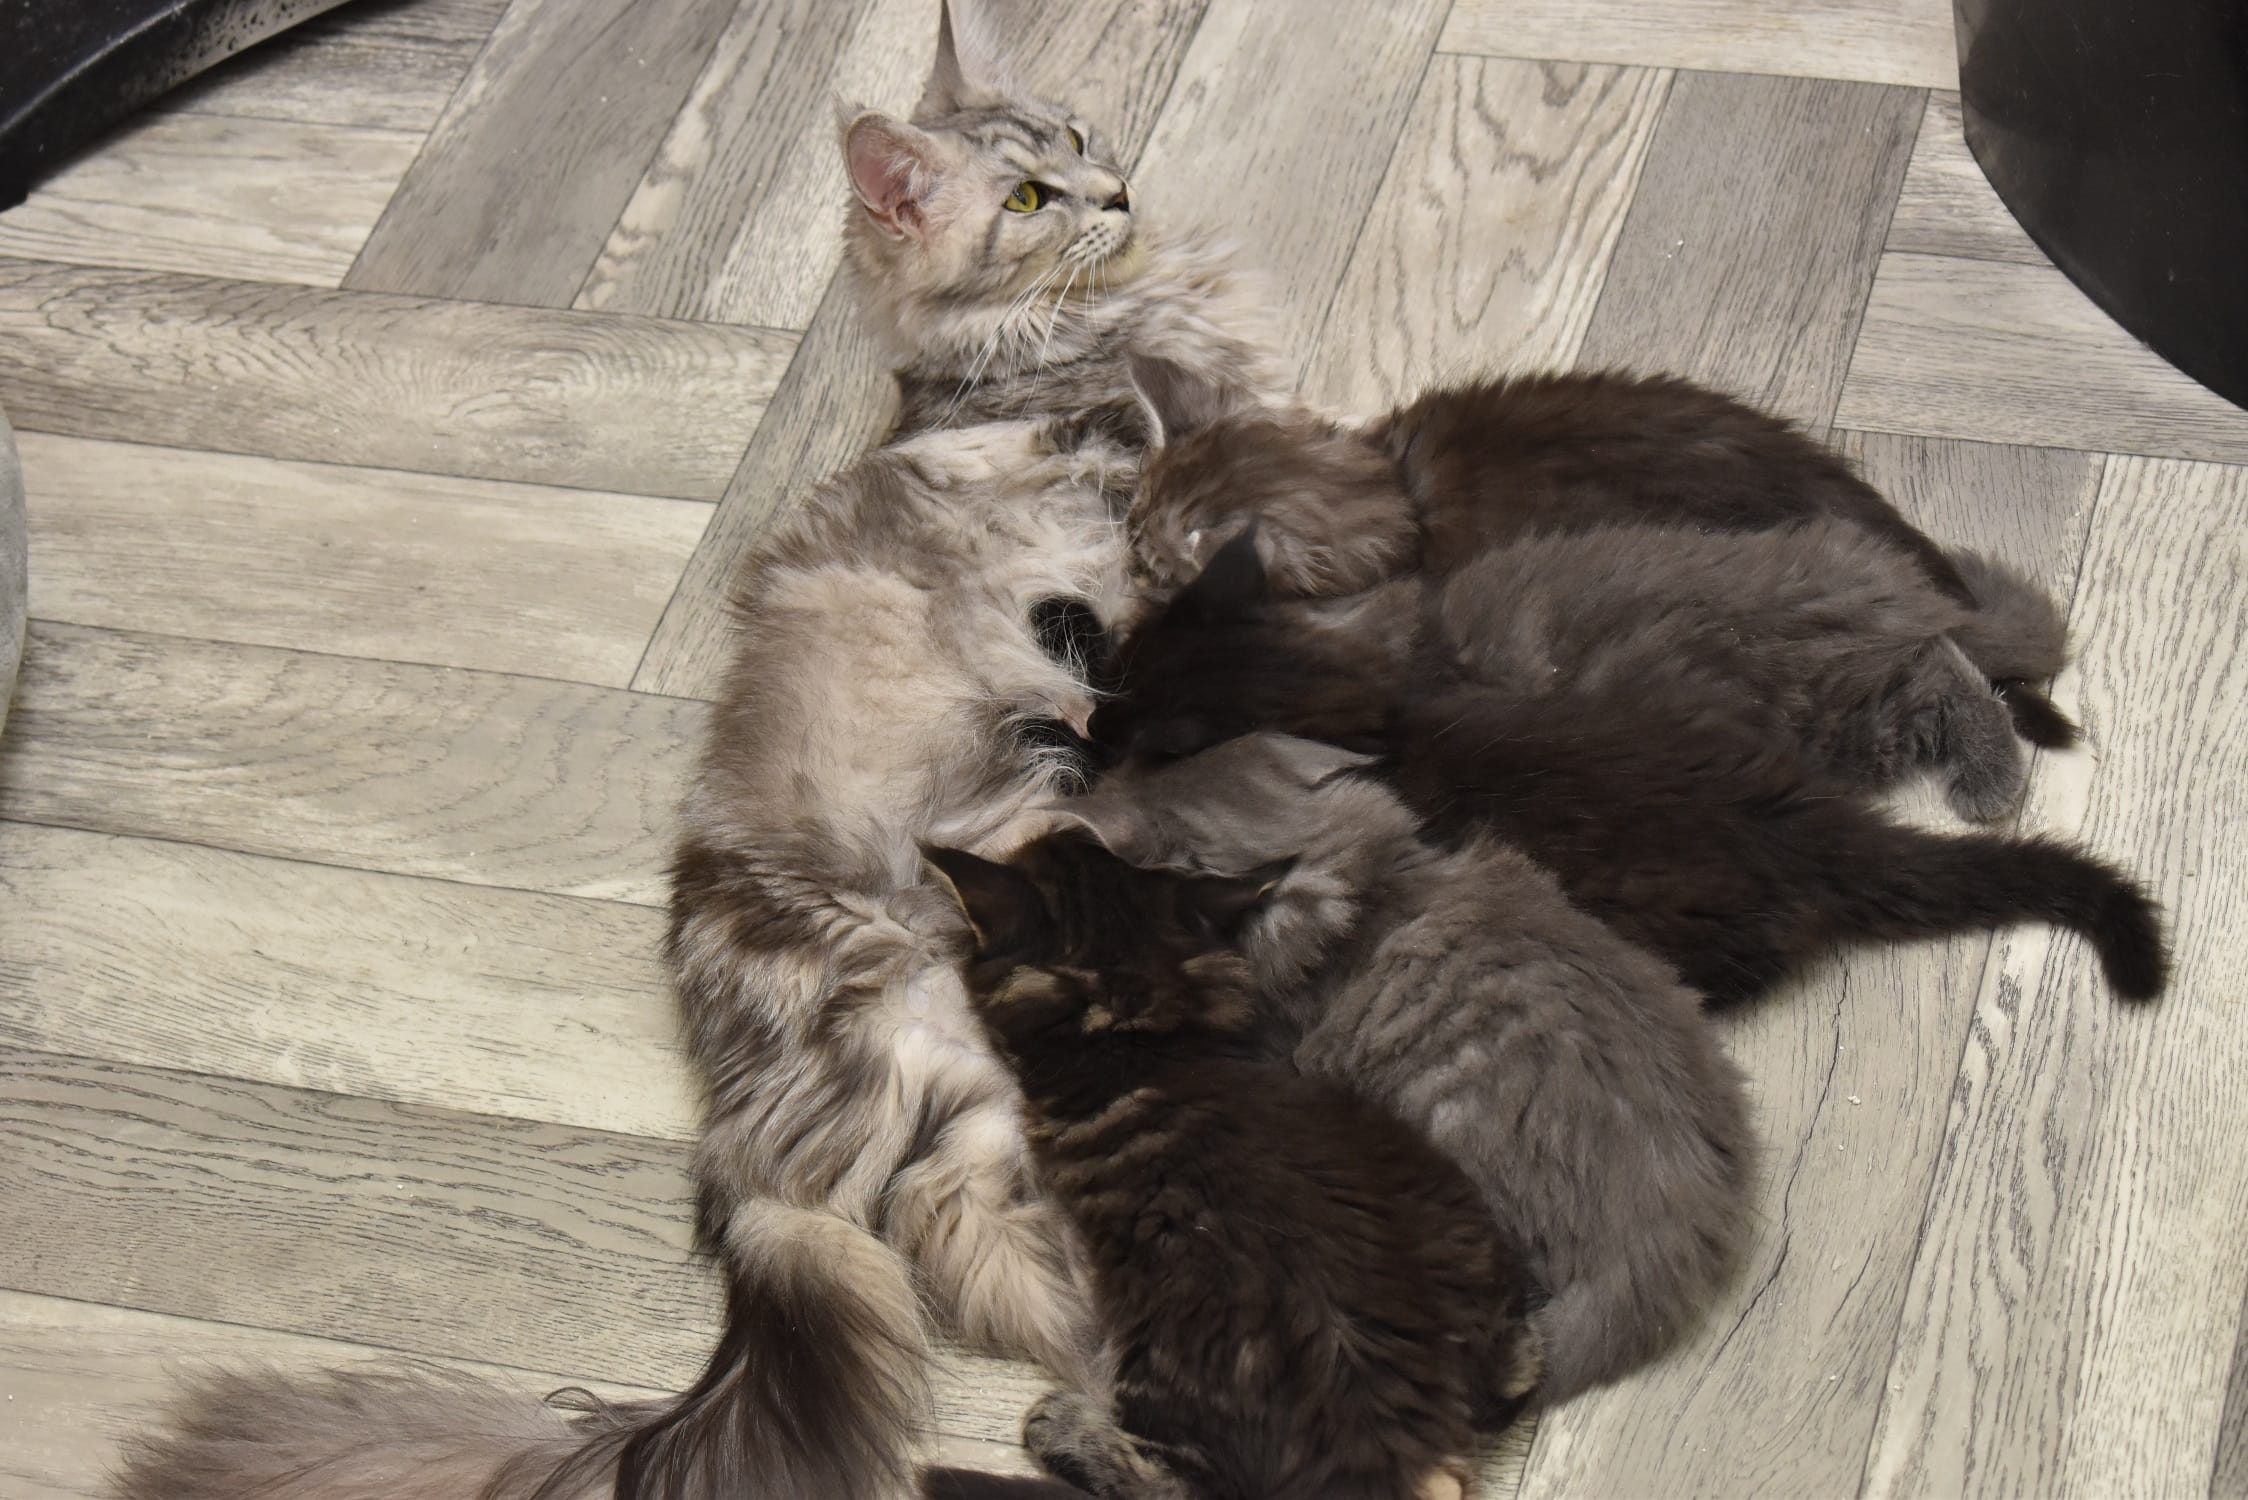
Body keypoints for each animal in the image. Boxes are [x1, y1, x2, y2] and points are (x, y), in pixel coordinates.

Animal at [115, 8, 1284, 1500]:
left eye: (1077, 141)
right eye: (1028, 199)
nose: (1118, 193)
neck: (1045, 338)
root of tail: (741, 1159)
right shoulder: (1139, 463)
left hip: (992, 1105)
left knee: (1004, 1266)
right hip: (960, 1061)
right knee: (1013, 1272)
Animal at [923, 830, 1541, 1500]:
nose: (1071, 828)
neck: (1143, 1031)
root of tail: (1408, 1440)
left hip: (1174, 1360)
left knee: (1171, 1484)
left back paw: (1060, 1427)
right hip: (1472, 1258)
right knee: (1516, 1375)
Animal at [1090, 532, 2170, 1008]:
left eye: (1123, 711)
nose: (1090, 719)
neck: (1362, 681)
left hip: (1815, 703)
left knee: (1948, 674)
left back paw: (1990, 778)